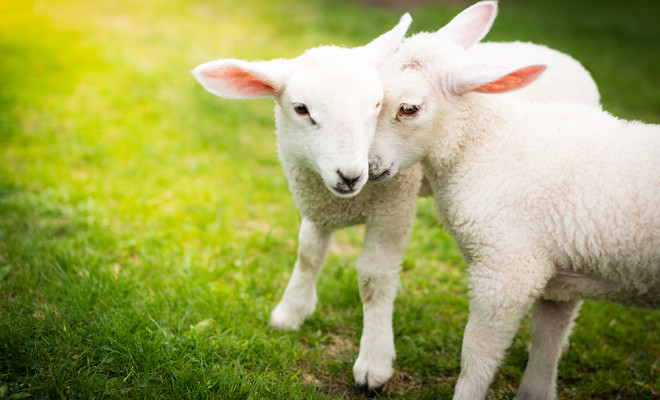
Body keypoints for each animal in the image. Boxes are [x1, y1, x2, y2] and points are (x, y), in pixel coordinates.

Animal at [192, 7, 604, 396]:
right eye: (301, 109)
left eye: (376, 105)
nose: (351, 175)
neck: (344, 199)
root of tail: (557, 53)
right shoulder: (319, 203)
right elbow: (308, 253)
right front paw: (291, 311)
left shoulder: (394, 206)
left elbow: (374, 276)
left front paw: (373, 363)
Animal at [368, 1, 656, 398]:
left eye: (408, 109)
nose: (365, 167)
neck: (486, 144)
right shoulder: (562, 276)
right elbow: (547, 346)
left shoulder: (508, 269)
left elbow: (476, 355)